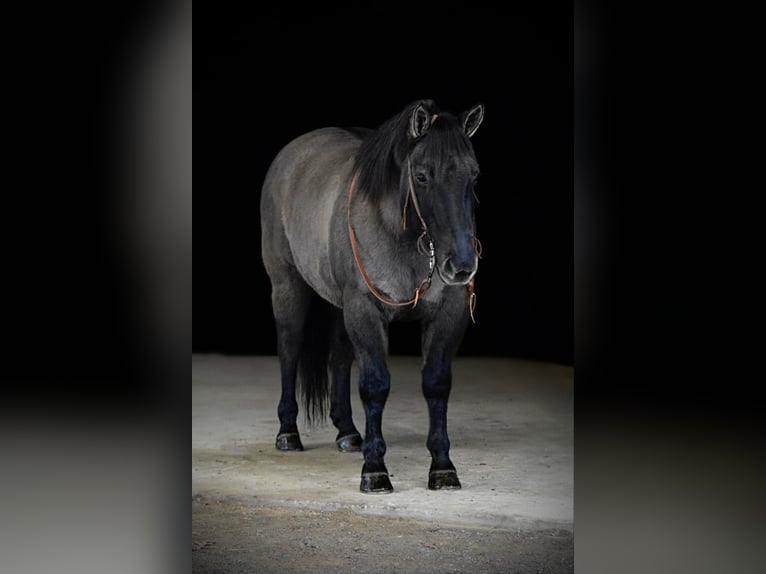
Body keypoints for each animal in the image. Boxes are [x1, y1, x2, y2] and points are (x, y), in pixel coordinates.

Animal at [260, 100, 484, 496]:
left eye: (473, 175)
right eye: (422, 176)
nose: (461, 265)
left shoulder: (447, 313)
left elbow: (436, 384)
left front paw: (443, 467)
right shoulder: (366, 311)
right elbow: (375, 385)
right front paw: (375, 469)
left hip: (341, 306)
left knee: (338, 357)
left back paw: (348, 433)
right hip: (287, 286)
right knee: (289, 349)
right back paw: (288, 433)